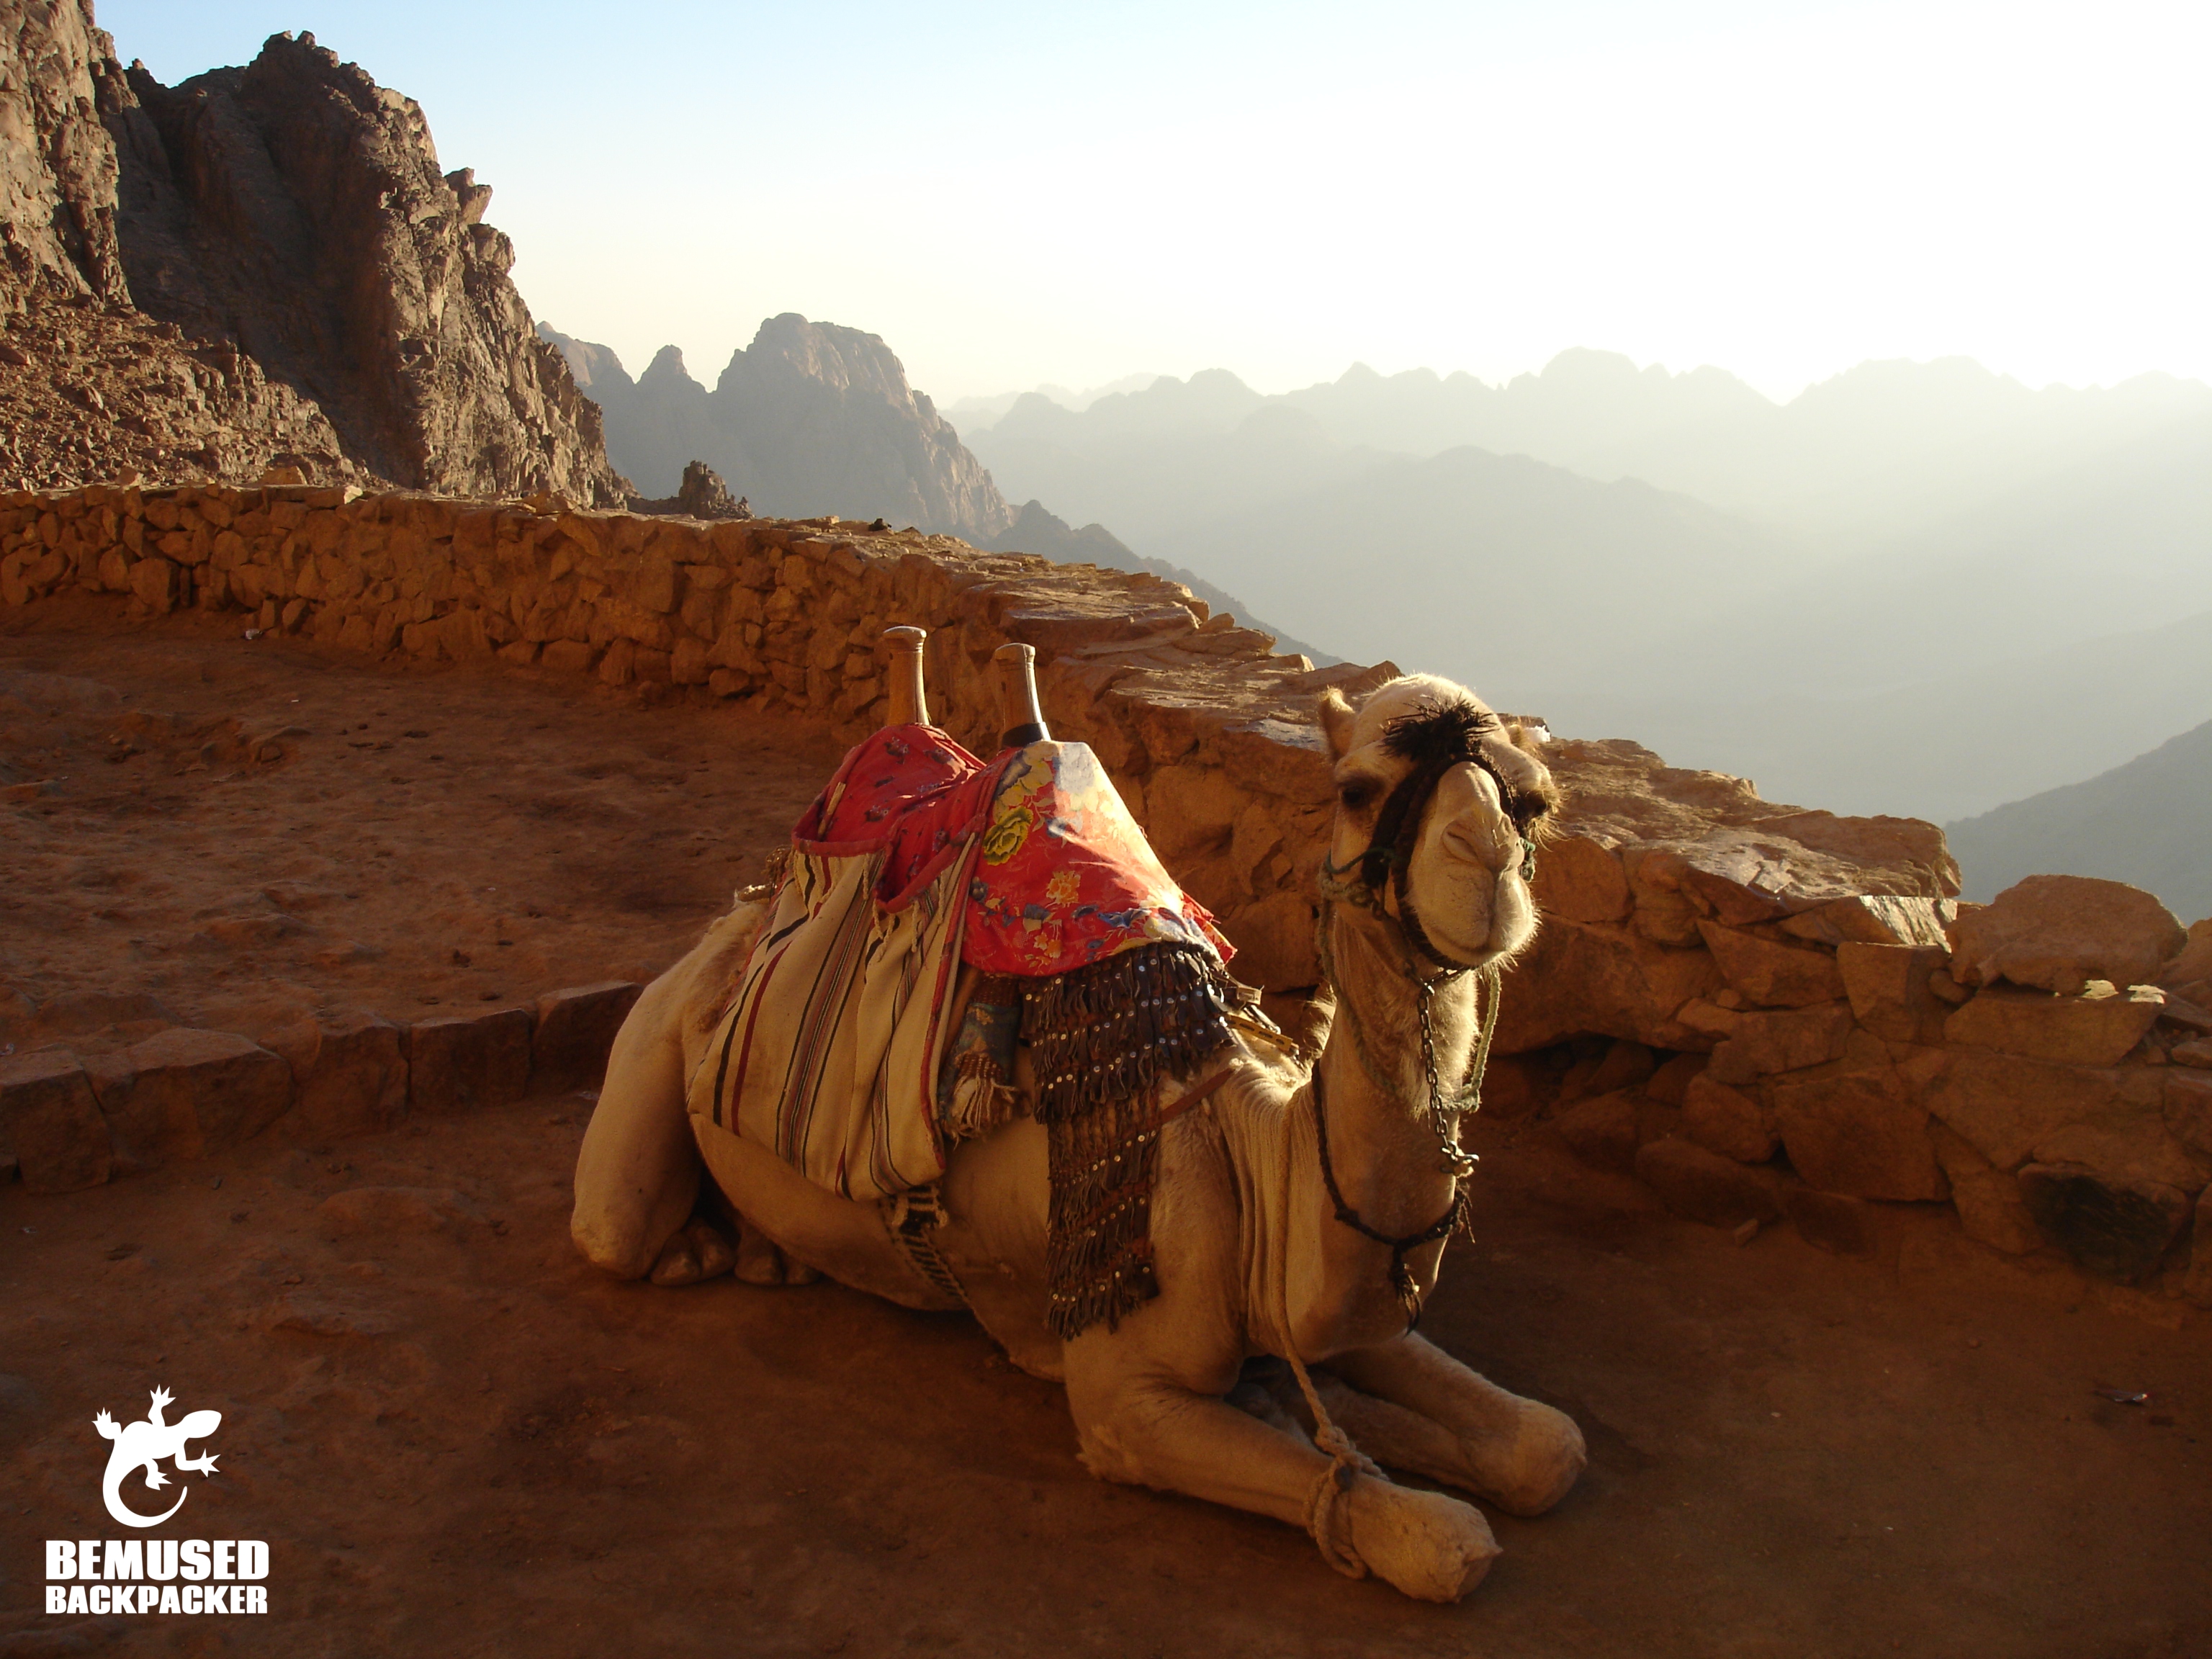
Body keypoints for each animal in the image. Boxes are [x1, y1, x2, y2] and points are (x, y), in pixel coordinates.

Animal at [571, 630, 1587, 1601]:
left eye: (1534, 802)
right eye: (1358, 789)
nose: (1484, 868)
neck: (1254, 1153)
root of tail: (736, 922)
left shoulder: (1337, 1312)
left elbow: (1547, 1447)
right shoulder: (1124, 1402)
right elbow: (1443, 1540)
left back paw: (763, 1254)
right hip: (658, 1037)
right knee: (617, 1226)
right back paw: (697, 1251)